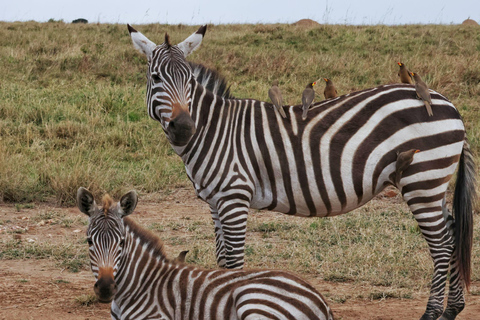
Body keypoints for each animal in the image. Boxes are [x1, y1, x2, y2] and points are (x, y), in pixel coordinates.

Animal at [127, 25, 476, 320]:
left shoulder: (234, 196)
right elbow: (222, 261)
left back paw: (432, 313)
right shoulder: (215, 201)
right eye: (156, 78)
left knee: (441, 243)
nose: (184, 128)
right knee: (453, 231)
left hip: (422, 178)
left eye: (189, 82)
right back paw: (452, 309)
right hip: (432, 182)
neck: (215, 130)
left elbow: (235, 263)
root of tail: (448, 104)